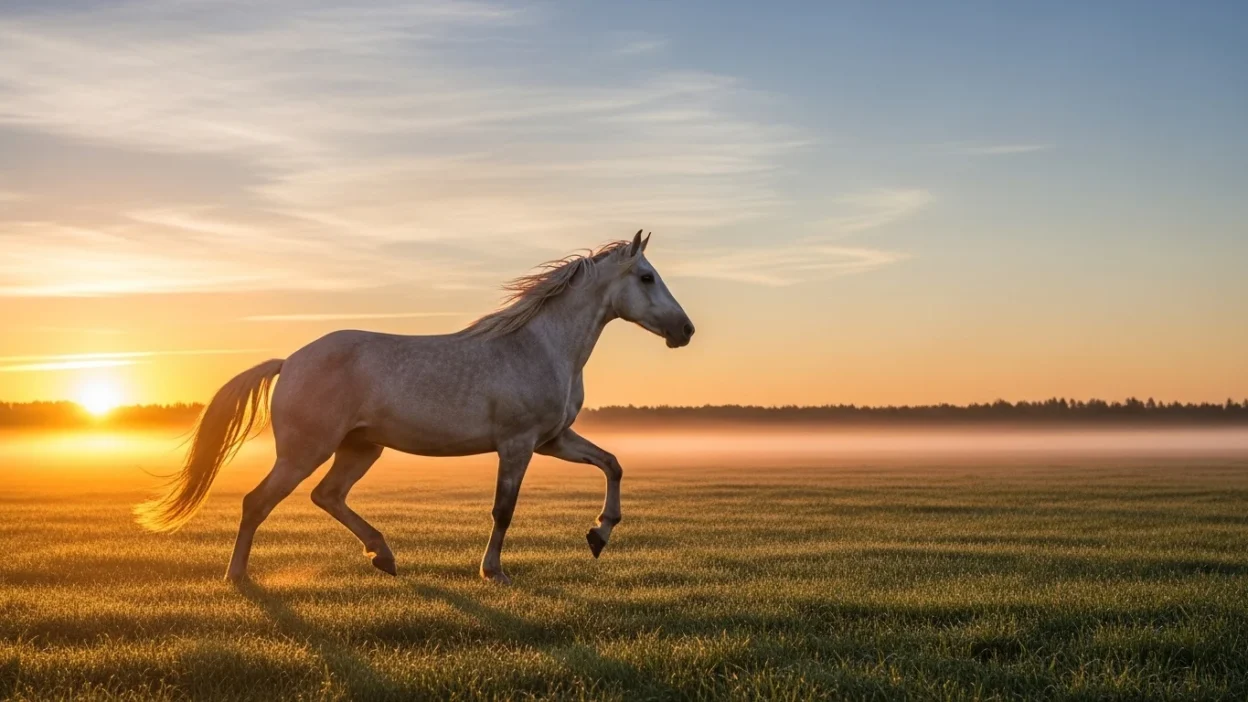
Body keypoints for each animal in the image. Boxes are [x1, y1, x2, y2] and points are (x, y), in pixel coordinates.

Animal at [135, 230, 694, 584]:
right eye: (646, 277)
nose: (685, 330)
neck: (539, 345)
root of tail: (289, 361)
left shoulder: (552, 440)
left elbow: (612, 464)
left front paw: (599, 534)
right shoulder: (516, 445)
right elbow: (504, 509)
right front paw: (493, 571)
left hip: (360, 448)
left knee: (327, 496)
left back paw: (383, 555)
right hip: (305, 451)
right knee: (258, 502)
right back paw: (237, 575)